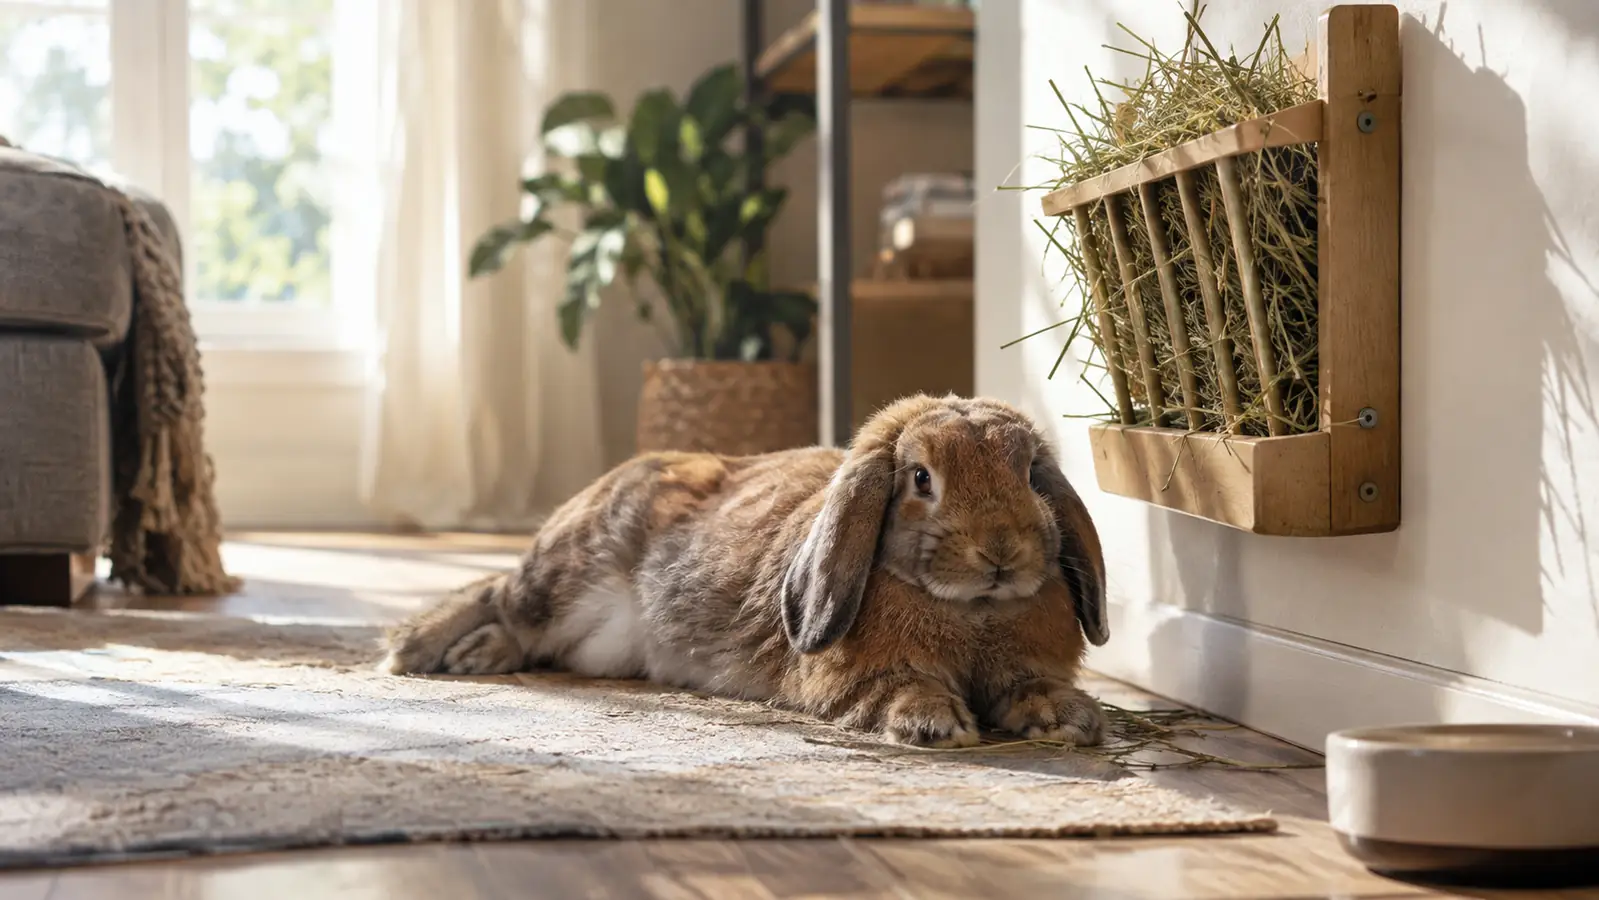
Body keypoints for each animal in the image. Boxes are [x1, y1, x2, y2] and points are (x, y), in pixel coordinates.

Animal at [381, 393, 1109, 748]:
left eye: (1030, 475)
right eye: (921, 478)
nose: (1001, 551)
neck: (972, 609)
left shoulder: (1020, 665)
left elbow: (1032, 687)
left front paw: (1067, 718)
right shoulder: (856, 678)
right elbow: (901, 690)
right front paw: (934, 726)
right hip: (569, 576)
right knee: (502, 595)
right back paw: (434, 650)